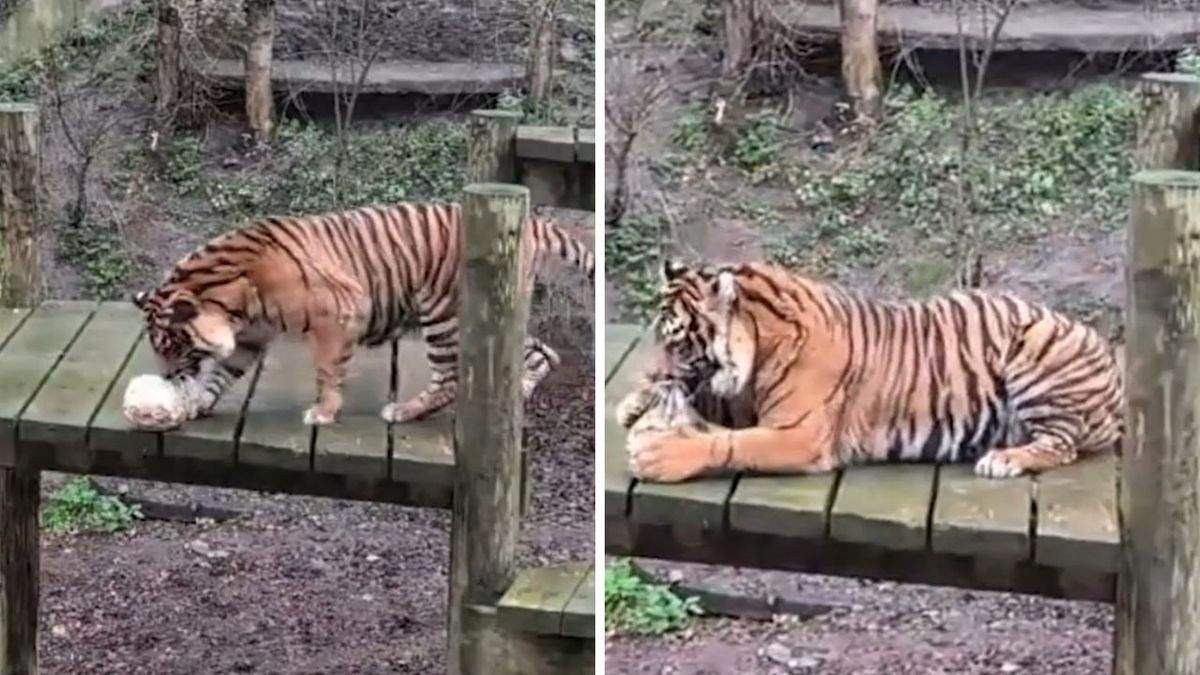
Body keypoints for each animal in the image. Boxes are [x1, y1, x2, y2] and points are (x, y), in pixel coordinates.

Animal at [132, 201, 594, 426]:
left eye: (173, 345)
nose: (167, 377)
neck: (235, 301)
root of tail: (530, 223)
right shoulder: (249, 337)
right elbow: (221, 375)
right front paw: (195, 404)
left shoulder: (339, 313)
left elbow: (326, 370)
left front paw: (323, 412)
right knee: (542, 351)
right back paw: (517, 396)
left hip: (443, 313)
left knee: (448, 377)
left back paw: (403, 411)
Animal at [618, 259, 1124, 483]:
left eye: (677, 342)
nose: (654, 371)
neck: (762, 343)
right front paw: (635, 401)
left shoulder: (800, 433)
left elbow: (732, 442)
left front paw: (659, 453)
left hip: (1037, 346)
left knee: (1062, 444)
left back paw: (1003, 459)